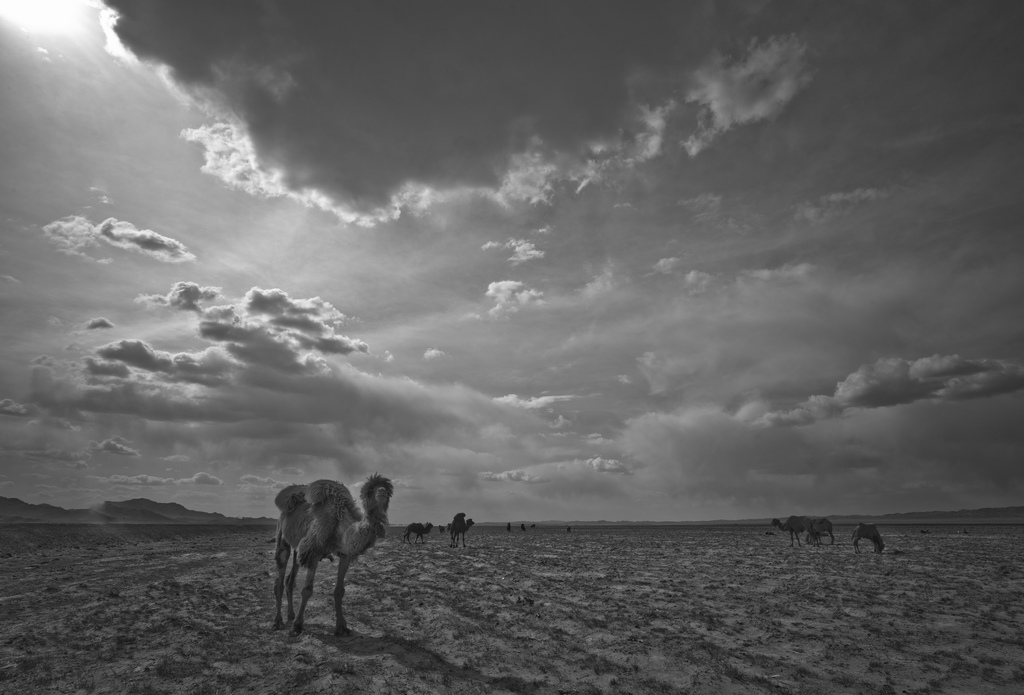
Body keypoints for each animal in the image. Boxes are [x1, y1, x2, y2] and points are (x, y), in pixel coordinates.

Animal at [272, 472, 391, 634]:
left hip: (298, 547)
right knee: (279, 580)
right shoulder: (313, 552)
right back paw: (278, 621)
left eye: (387, 489)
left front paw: (341, 626)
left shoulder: (345, 555)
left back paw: (290, 615)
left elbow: (339, 591)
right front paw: (297, 626)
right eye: (370, 490)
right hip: (282, 537)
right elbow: (307, 590)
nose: (382, 492)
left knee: (289, 580)